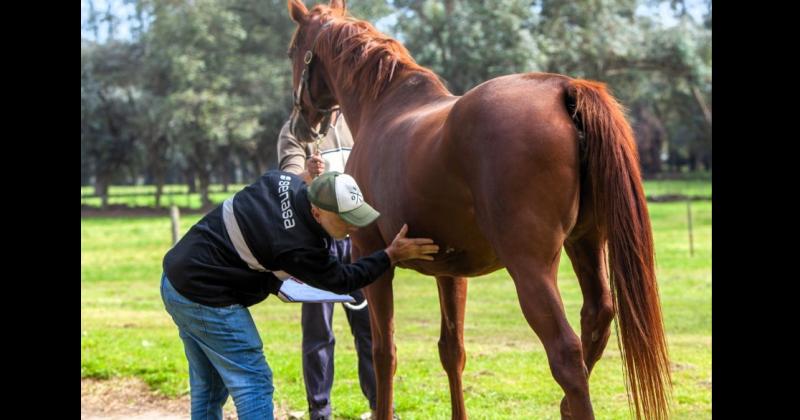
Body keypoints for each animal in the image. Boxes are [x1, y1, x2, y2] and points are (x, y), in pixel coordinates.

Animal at [286, 1, 668, 418]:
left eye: (293, 50)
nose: (301, 124)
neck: (384, 107)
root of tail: (562, 89)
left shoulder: (370, 254)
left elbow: (384, 352)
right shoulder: (450, 271)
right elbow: (452, 350)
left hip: (531, 266)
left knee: (566, 353)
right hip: (586, 243)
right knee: (595, 320)